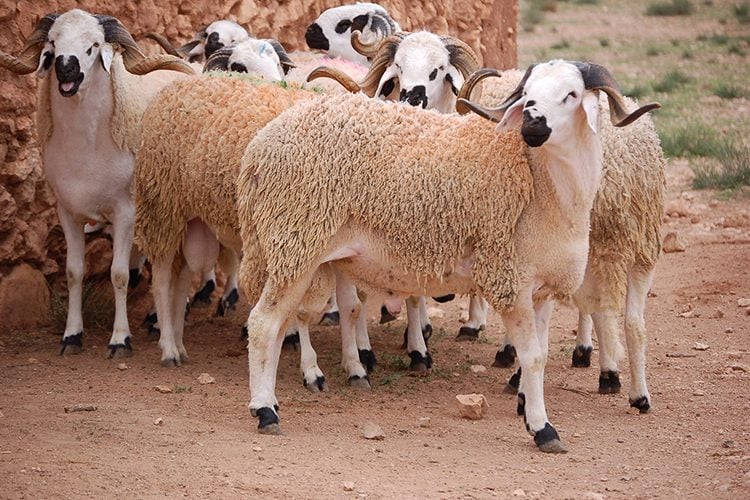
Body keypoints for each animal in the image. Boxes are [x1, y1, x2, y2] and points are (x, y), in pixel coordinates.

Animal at [0, 9, 193, 356]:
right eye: (52, 43)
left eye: (93, 46)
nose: (65, 66)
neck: (87, 148)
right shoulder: (67, 211)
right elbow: (74, 272)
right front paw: (71, 336)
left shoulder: (125, 212)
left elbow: (119, 275)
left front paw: (120, 339)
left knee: (176, 265)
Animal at [236, 60, 658, 451]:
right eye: (527, 95)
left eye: (571, 94)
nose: (532, 125)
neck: (544, 185)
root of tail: (260, 146)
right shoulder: (509, 278)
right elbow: (535, 358)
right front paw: (543, 428)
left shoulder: (540, 289)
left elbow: (535, 353)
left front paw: (526, 402)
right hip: (295, 243)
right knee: (263, 324)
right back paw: (265, 411)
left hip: (296, 253)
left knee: (279, 326)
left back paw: (272, 398)